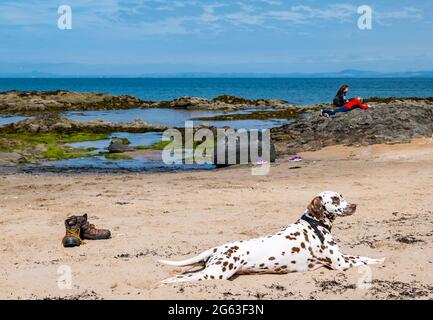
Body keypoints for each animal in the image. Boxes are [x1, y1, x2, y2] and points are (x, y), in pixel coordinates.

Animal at [159, 191, 384, 284]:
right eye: (336, 199)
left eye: (342, 196)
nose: (354, 206)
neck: (314, 224)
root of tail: (217, 248)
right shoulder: (340, 263)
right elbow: (365, 260)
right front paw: (379, 261)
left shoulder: (343, 258)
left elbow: (363, 257)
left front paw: (380, 258)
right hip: (216, 274)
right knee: (182, 278)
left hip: (210, 271)